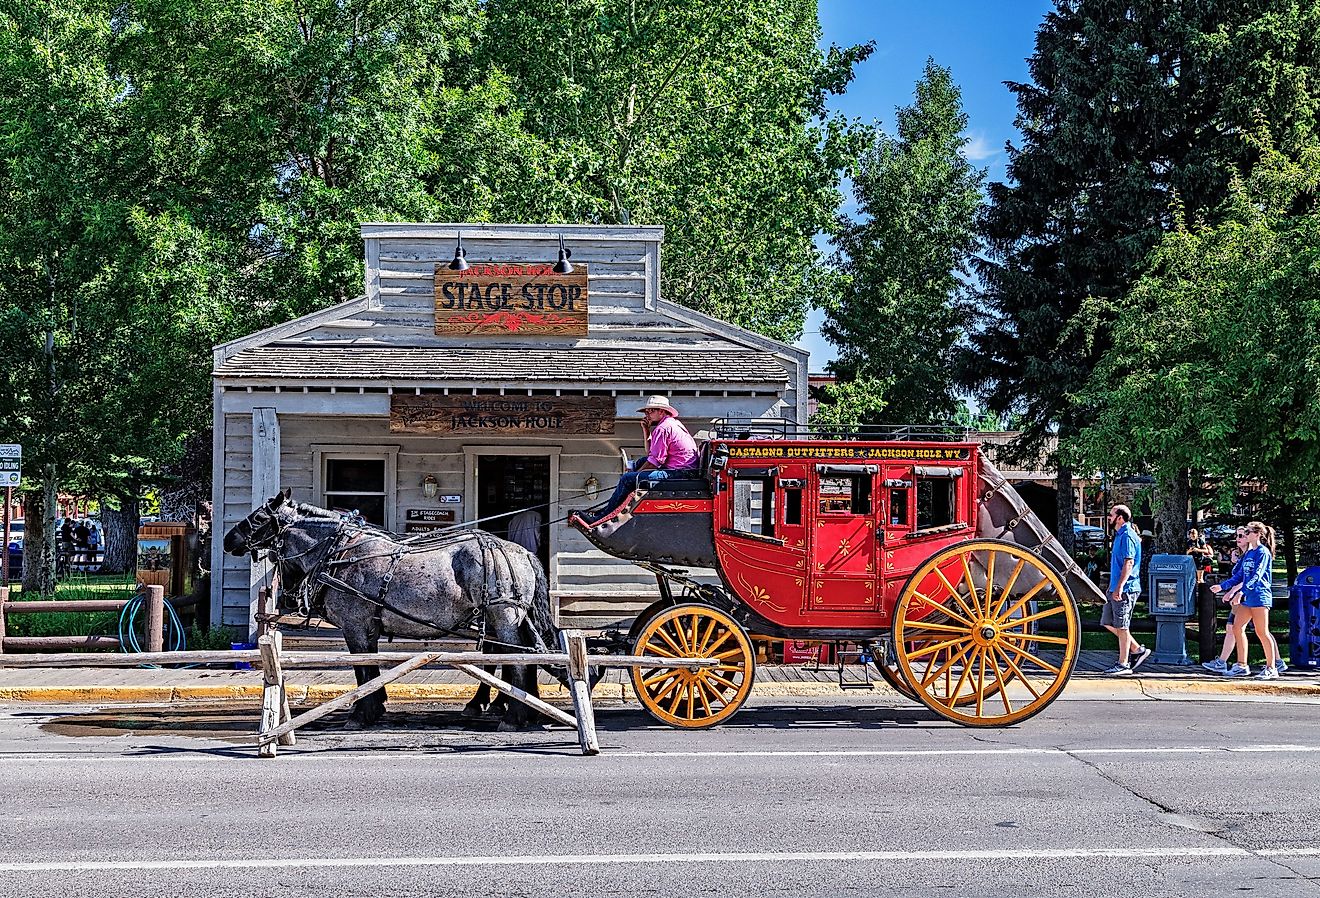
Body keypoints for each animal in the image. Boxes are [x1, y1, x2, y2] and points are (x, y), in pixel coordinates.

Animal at [221, 491, 557, 728]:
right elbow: (371, 669)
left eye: (259, 518)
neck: (339, 553)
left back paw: (513, 716)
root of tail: (521, 552)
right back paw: (523, 710)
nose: (228, 539)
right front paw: (375, 706)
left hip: (504, 617)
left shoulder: (355, 626)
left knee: (517, 661)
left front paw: (361, 714)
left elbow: (362, 669)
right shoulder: (367, 627)